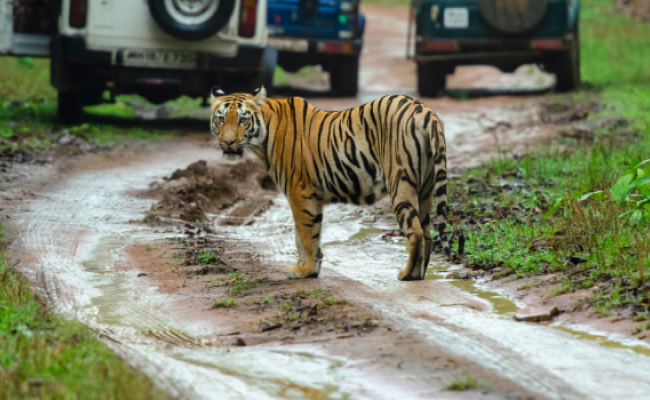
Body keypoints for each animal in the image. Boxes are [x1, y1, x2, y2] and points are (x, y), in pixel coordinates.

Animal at [209, 86, 450, 282]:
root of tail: (425, 111)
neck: (263, 137)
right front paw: (306, 267)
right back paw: (420, 273)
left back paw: (408, 274)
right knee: (427, 233)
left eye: (242, 120)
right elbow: (301, 236)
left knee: (415, 231)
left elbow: (307, 236)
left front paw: (305, 270)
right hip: (425, 188)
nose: (228, 142)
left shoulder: (300, 193)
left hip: (401, 181)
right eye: (221, 119)